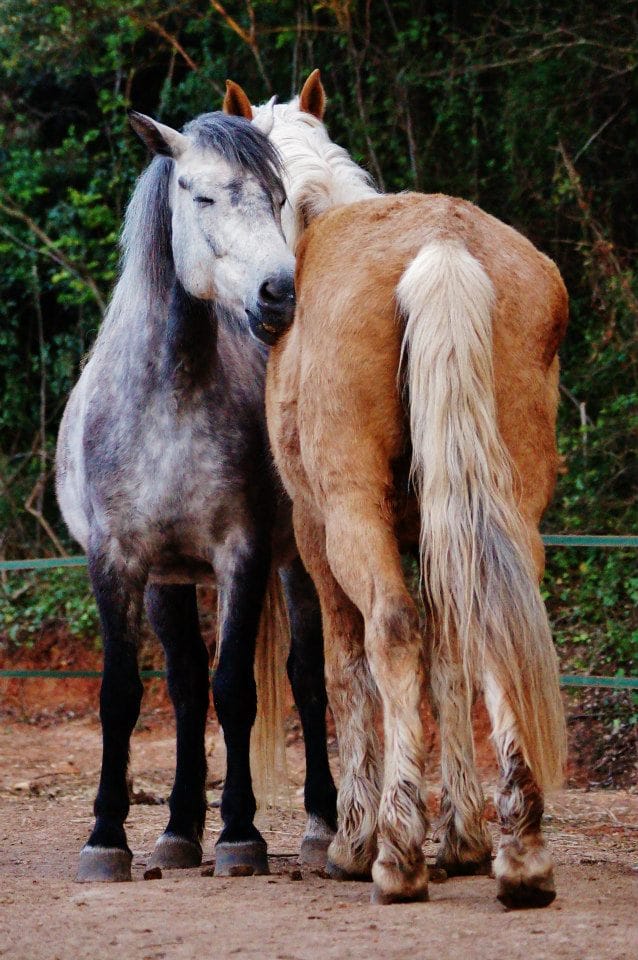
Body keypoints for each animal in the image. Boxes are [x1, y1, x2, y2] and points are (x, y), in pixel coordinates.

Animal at [56, 109, 337, 883]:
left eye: (276, 198)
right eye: (203, 195)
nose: (279, 294)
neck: (167, 396)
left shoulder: (242, 556)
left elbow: (235, 687)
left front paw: (240, 834)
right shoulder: (118, 562)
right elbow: (124, 695)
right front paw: (106, 840)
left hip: (297, 567)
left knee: (307, 679)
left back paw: (321, 826)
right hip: (169, 582)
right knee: (183, 688)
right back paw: (179, 831)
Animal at [223, 72, 568, 907]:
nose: (268, 303)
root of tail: (441, 244)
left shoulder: (317, 537)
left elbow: (347, 670)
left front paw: (355, 840)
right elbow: (450, 661)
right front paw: (465, 840)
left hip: (350, 520)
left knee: (390, 634)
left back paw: (395, 854)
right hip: (503, 513)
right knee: (494, 632)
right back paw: (519, 855)